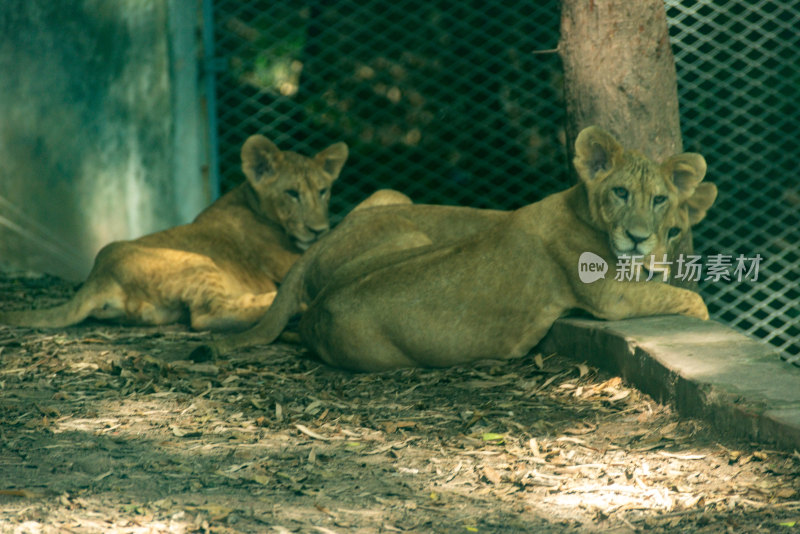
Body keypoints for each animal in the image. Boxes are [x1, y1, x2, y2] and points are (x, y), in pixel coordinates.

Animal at [1, 136, 348, 332]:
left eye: (323, 191)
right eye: (292, 194)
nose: (319, 230)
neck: (251, 200)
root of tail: (97, 276)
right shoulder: (283, 258)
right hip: (198, 262)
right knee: (207, 317)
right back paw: (278, 303)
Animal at [203, 127, 716, 368]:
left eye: (661, 201)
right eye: (621, 193)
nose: (640, 238)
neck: (581, 206)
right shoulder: (609, 294)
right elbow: (690, 299)